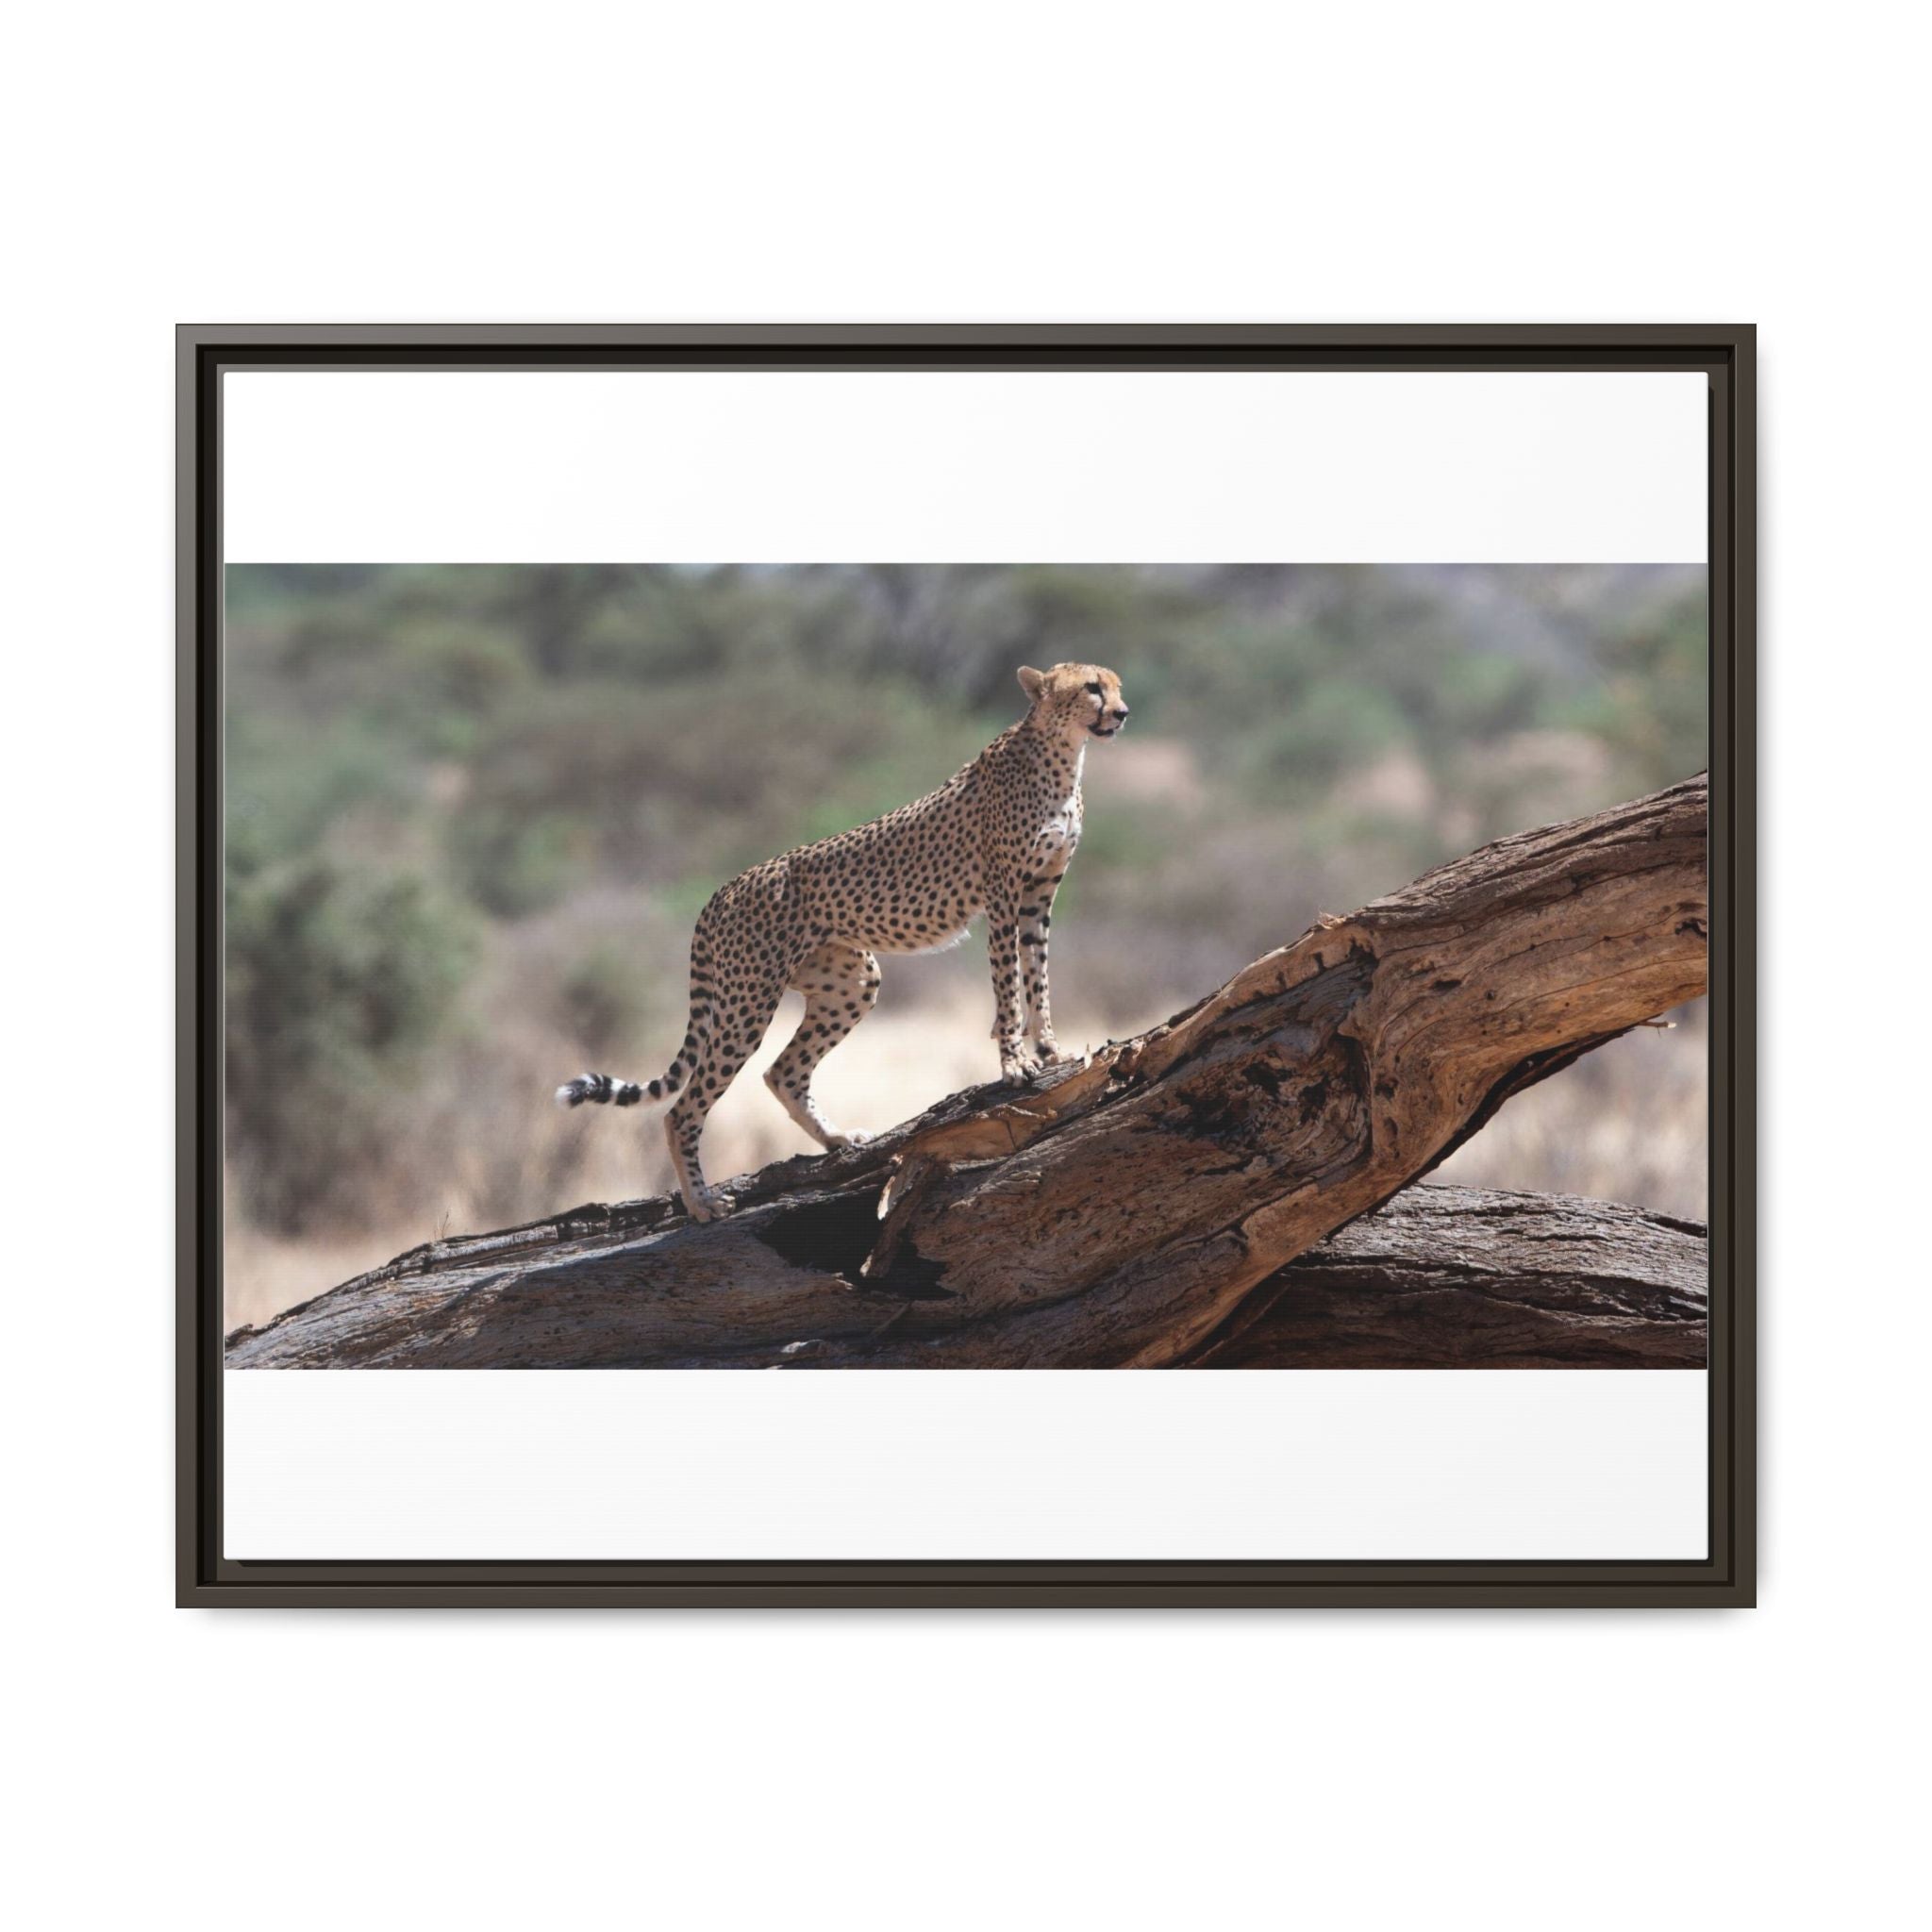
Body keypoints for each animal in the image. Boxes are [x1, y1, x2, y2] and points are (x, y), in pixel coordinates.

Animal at [556, 661, 1131, 1221]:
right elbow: (1008, 984)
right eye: (1091, 688)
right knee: (684, 1107)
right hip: (748, 999)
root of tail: (724, 889)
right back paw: (702, 1203)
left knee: (783, 1072)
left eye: (1116, 685)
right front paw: (1014, 1063)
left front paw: (1051, 1049)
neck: (1063, 754)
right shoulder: (1004, 895)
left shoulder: (1038, 896)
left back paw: (837, 1139)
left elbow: (1038, 976)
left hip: (851, 980)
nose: (1123, 713)